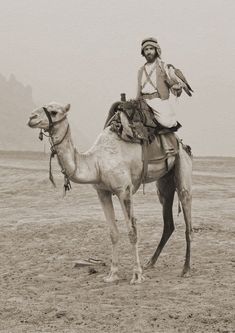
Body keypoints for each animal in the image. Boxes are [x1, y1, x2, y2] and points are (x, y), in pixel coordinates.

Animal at [27, 101, 193, 282]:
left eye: (54, 112)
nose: (31, 118)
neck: (96, 163)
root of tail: (180, 143)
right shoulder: (102, 192)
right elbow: (113, 233)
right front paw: (112, 274)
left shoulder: (124, 190)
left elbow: (132, 231)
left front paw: (137, 275)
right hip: (164, 182)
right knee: (168, 220)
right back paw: (150, 262)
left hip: (182, 165)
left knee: (187, 214)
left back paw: (185, 269)